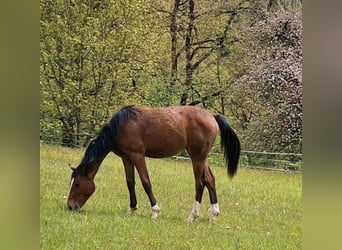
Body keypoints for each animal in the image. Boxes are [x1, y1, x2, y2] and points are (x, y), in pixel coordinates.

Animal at [67, 104, 240, 222]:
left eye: (77, 184)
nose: (70, 206)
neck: (120, 127)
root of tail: (212, 115)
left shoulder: (137, 156)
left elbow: (146, 183)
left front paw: (155, 211)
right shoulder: (126, 158)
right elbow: (130, 182)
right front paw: (131, 209)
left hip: (197, 158)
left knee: (200, 183)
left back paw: (192, 216)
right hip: (202, 158)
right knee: (210, 180)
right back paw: (214, 215)